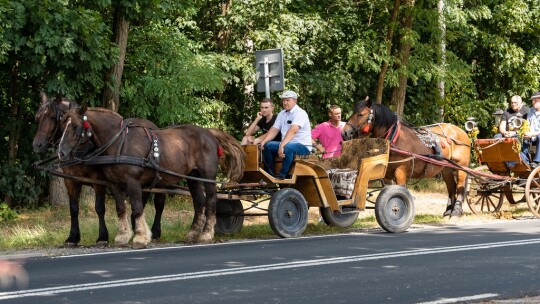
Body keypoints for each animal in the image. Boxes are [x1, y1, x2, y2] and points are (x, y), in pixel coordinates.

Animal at [32, 94, 166, 246]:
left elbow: (99, 208)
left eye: (52, 117)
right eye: (37, 117)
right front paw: (72, 237)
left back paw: (154, 232)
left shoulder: (98, 181)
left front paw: (102, 236)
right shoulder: (70, 182)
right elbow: (74, 209)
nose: (37, 145)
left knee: (159, 204)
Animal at [57, 107, 245, 247]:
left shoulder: (133, 182)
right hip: (193, 177)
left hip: (208, 176)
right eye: (62, 125)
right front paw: (123, 236)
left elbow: (137, 208)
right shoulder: (114, 183)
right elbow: (121, 208)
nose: (61, 153)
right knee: (199, 202)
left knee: (211, 201)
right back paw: (192, 234)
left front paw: (140, 236)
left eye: (76, 126)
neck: (119, 142)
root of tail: (209, 133)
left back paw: (206, 234)